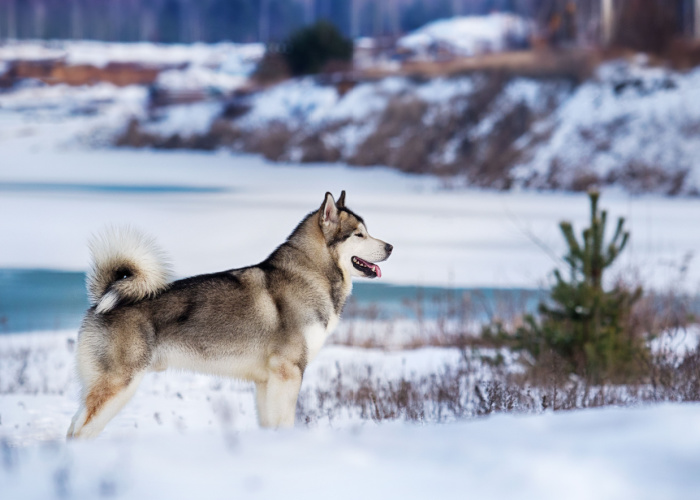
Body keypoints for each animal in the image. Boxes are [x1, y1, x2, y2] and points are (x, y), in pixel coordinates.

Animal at [67, 191, 392, 438]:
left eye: (367, 231)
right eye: (360, 234)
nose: (390, 246)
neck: (311, 274)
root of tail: (103, 299)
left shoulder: (266, 381)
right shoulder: (288, 373)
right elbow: (284, 422)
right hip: (118, 386)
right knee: (81, 431)